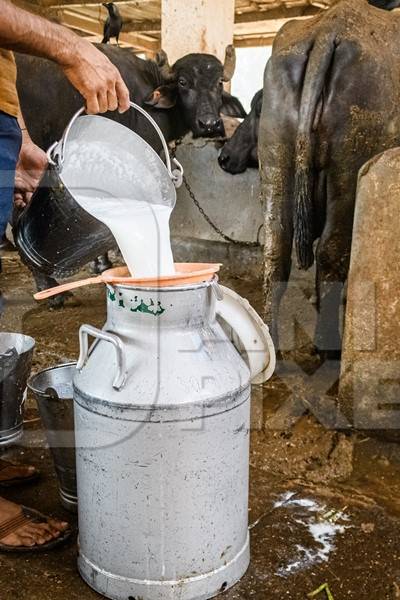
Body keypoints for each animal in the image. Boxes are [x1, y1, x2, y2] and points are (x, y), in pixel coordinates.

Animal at [260, 0, 400, 356]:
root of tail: (329, 30)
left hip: (275, 154)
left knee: (276, 248)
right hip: (350, 165)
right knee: (331, 251)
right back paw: (330, 346)